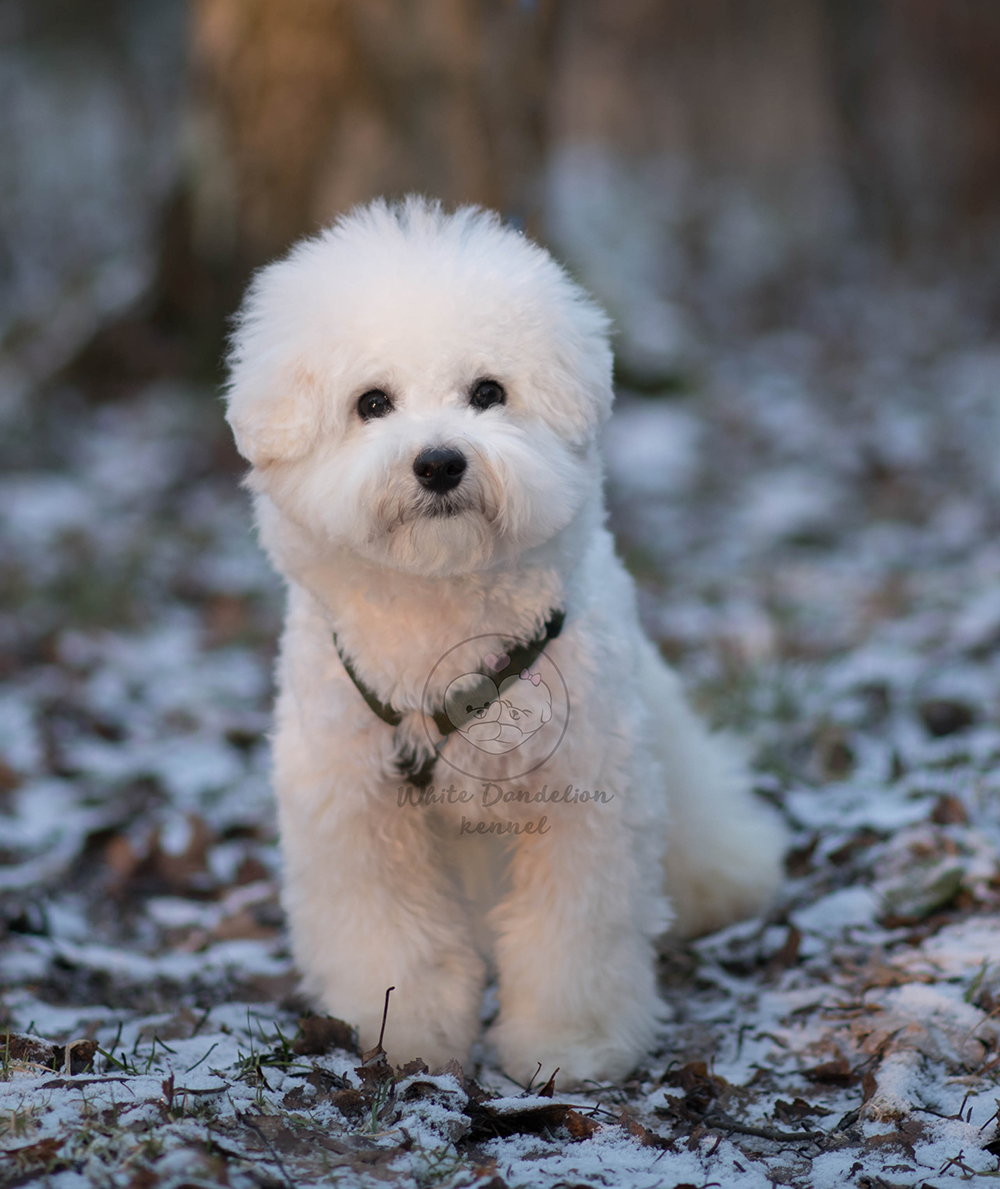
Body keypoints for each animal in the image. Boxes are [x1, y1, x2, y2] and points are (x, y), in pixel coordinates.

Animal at [225, 194, 789, 1089]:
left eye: (488, 392)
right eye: (371, 402)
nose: (439, 462)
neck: (443, 610)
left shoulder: (583, 801)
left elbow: (574, 940)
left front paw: (571, 1049)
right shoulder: (355, 812)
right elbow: (390, 939)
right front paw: (403, 1036)